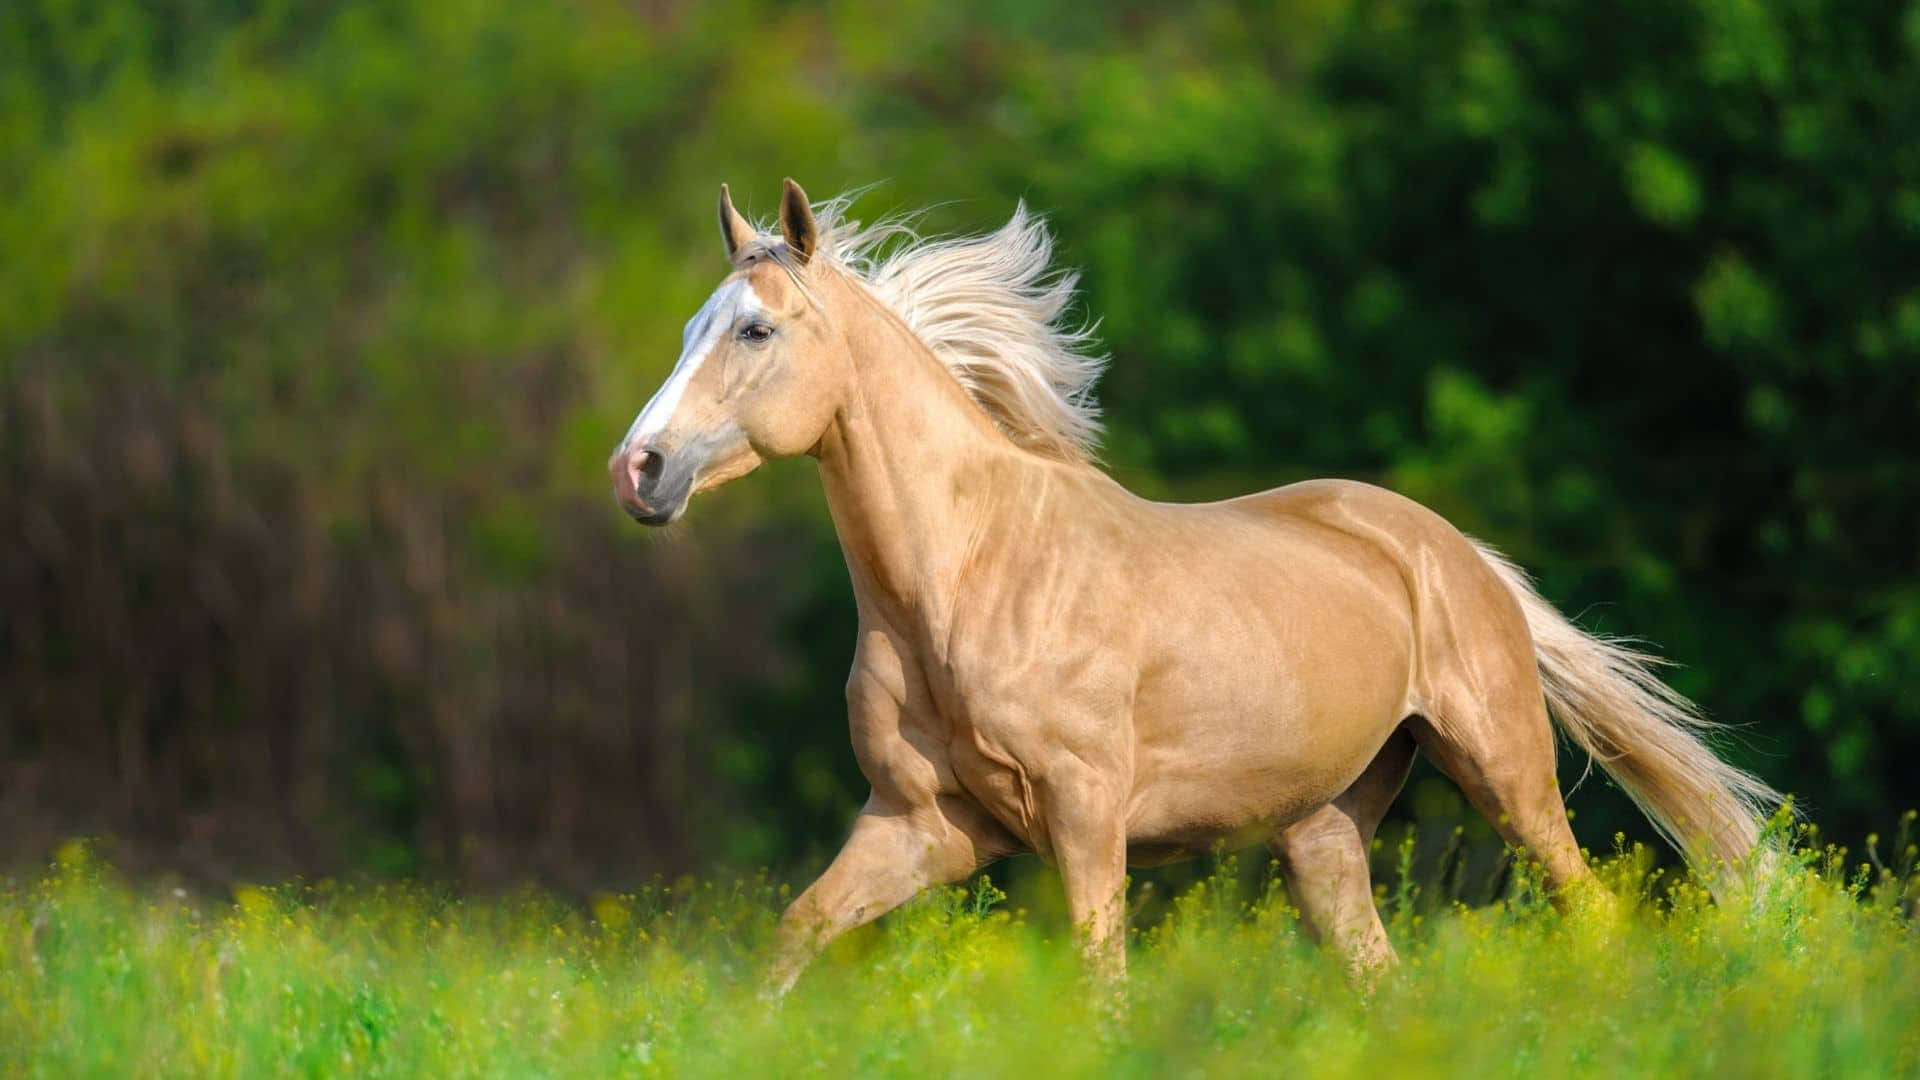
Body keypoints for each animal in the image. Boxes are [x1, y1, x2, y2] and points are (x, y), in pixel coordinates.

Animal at [608, 179, 1782, 994]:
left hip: (1504, 769)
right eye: (691, 328)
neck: (968, 581)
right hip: (1324, 830)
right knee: (1380, 976)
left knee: (1591, 914)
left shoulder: (1085, 817)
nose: (639, 469)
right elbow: (795, 936)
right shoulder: (920, 825)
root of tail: (1453, 552)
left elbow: (1103, 986)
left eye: (756, 328)